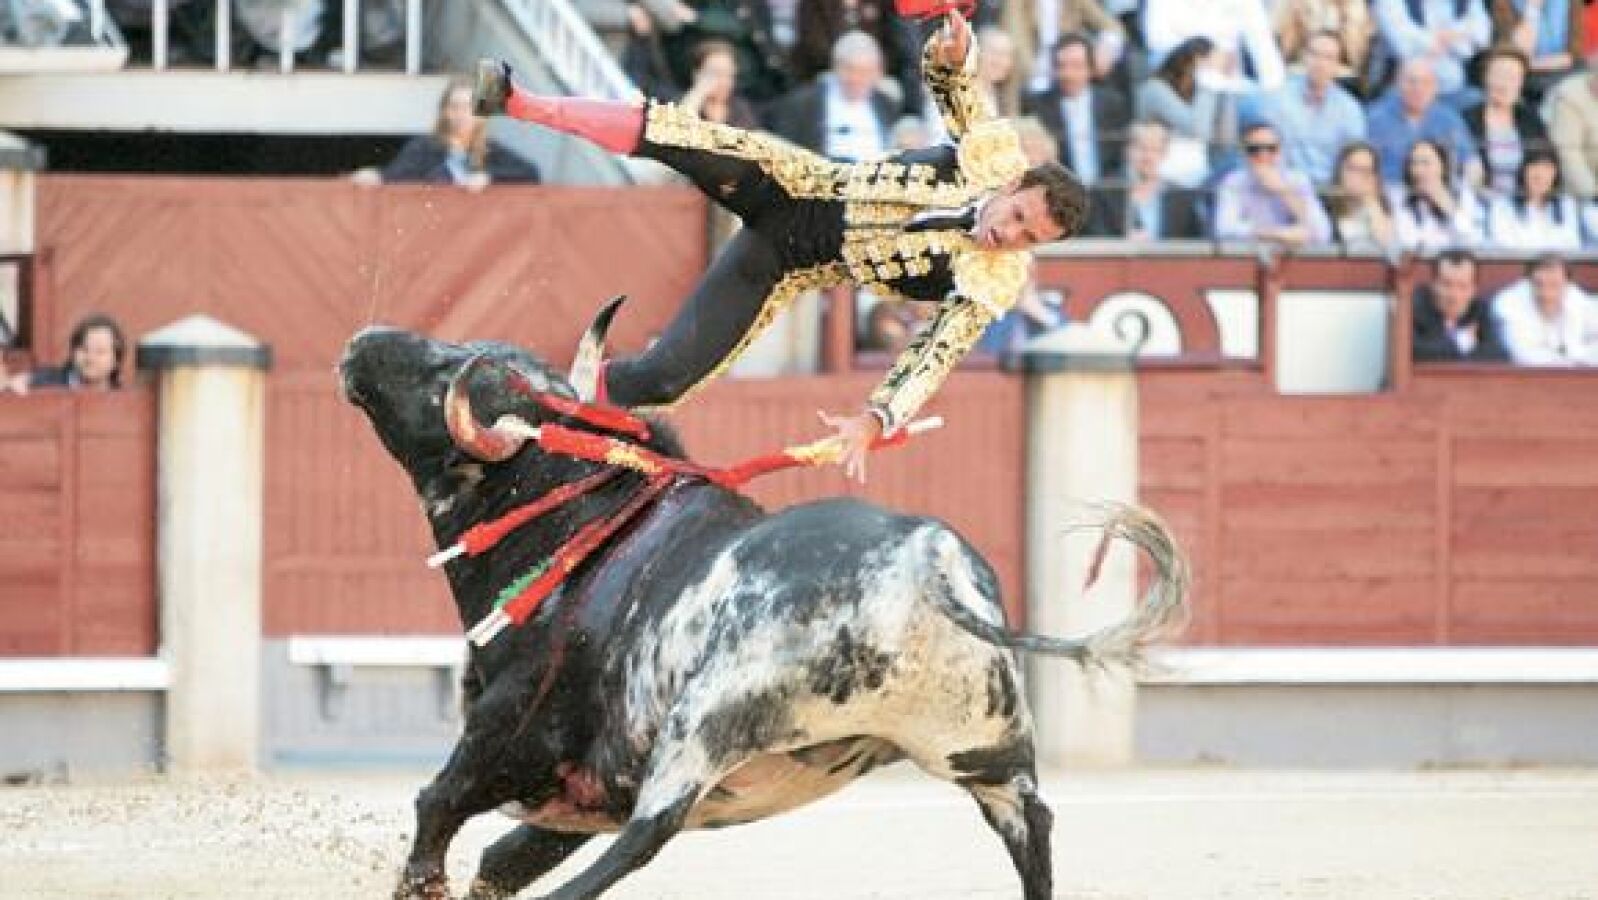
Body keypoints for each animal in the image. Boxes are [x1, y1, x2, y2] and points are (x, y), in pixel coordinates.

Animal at [337, 325, 1190, 900]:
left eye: (442, 372)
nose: (362, 340)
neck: (584, 519)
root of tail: (930, 564)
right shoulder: (580, 786)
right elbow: (503, 857)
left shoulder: (508, 734)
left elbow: (437, 808)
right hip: (990, 752)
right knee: (1035, 830)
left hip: (708, 721)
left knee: (645, 837)